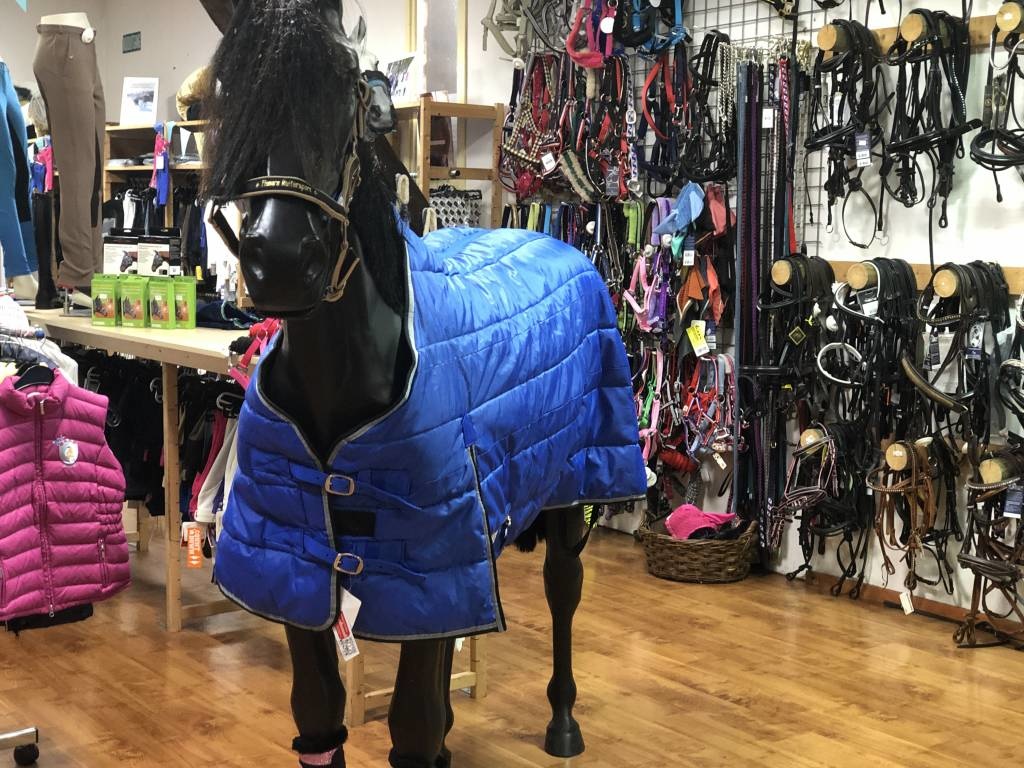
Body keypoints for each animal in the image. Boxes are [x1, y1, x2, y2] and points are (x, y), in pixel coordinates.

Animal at [199, 2, 647, 767]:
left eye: (350, 85)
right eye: (230, 88)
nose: (282, 260)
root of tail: (560, 240)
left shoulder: (436, 561)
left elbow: (411, 724)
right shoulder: (299, 571)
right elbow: (322, 716)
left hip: (572, 488)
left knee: (563, 594)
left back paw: (563, 723)